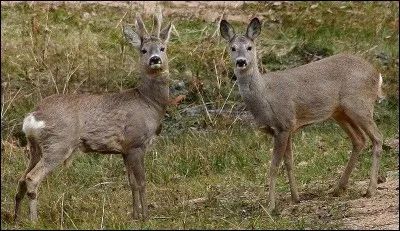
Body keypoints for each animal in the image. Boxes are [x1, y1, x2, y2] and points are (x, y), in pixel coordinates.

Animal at [12, 8, 171, 223]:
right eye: (143, 50)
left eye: (162, 48)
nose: (155, 59)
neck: (148, 102)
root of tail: (32, 117)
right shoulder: (136, 142)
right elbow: (142, 182)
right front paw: (145, 216)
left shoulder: (125, 150)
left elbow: (131, 182)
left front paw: (135, 215)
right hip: (58, 143)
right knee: (31, 178)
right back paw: (34, 221)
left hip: (36, 147)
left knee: (21, 178)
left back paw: (16, 218)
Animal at [220, 17, 382, 213]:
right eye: (233, 48)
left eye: (250, 47)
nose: (241, 62)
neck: (264, 95)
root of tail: (377, 73)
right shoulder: (288, 127)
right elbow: (289, 162)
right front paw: (295, 198)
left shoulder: (283, 124)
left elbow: (274, 166)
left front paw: (271, 205)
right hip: (340, 112)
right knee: (359, 139)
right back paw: (338, 188)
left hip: (360, 105)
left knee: (377, 137)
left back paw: (370, 190)